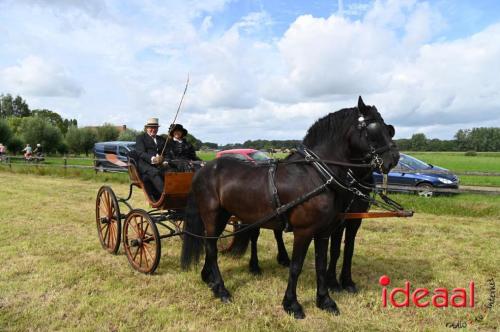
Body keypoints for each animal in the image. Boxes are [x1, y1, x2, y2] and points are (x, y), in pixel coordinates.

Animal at [180, 96, 398, 320]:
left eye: (388, 128)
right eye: (374, 128)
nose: (394, 158)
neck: (316, 175)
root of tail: (203, 169)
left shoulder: (324, 232)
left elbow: (321, 264)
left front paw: (325, 301)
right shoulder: (304, 232)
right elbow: (296, 266)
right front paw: (292, 304)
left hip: (224, 215)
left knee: (210, 245)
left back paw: (209, 280)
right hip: (212, 215)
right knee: (211, 248)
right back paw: (221, 289)